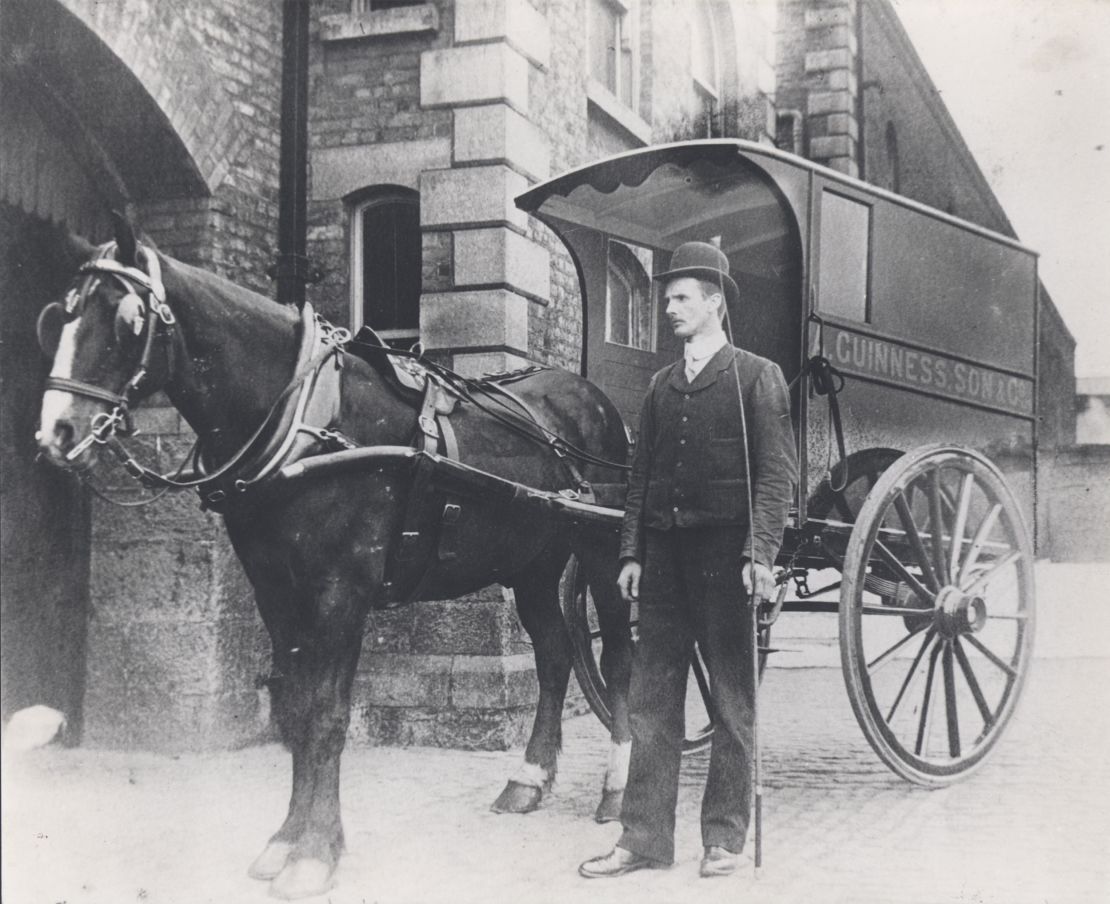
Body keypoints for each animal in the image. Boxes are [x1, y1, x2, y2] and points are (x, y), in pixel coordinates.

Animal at [34, 215, 634, 901]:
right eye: (62, 316)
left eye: (127, 318)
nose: (55, 433)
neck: (308, 419)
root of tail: (589, 395)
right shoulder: (275, 588)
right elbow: (296, 708)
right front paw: (284, 841)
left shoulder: (341, 588)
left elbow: (326, 712)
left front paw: (317, 852)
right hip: (533, 563)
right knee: (556, 656)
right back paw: (529, 779)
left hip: (603, 551)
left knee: (618, 656)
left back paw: (619, 787)